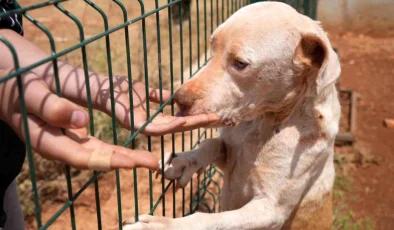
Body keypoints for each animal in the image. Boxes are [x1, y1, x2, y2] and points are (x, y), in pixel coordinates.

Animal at [124, 2, 340, 230]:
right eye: (212, 47)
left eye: (240, 63)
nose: (178, 99)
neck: (264, 123)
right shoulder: (229, 156)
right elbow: (211, 144)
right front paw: (181, 161)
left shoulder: (269, 210)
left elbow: (207, 220)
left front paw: (159, 225)